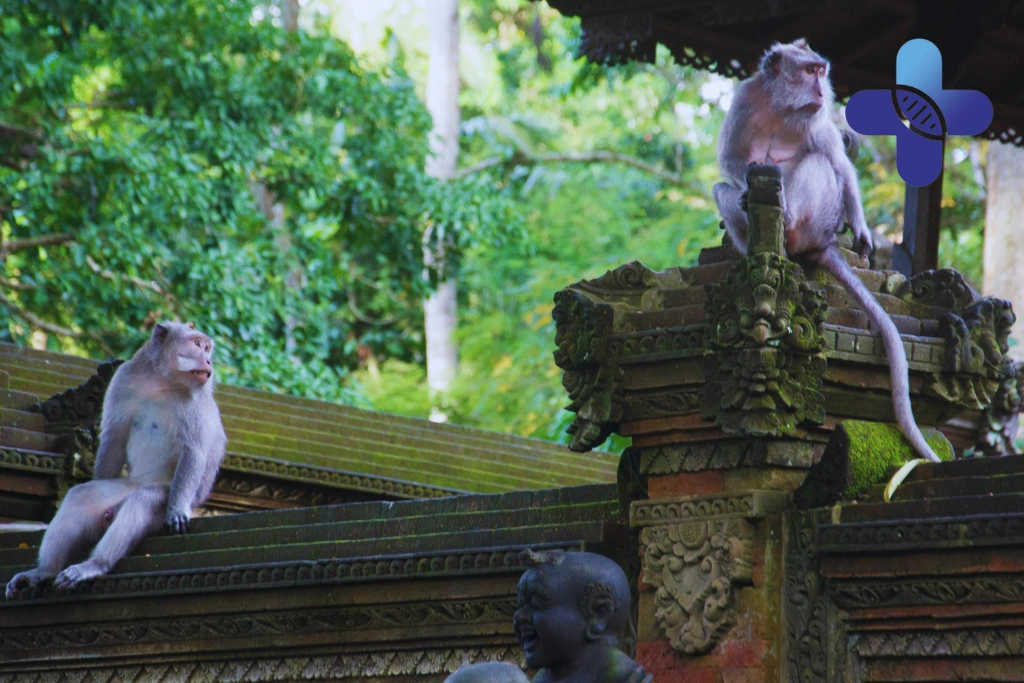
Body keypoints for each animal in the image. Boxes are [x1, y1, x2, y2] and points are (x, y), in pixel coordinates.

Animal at [4, 322, 227, 597]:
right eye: (198, 344)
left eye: (207, 347)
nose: (208, 360)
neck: (163, 381)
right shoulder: (124, 379)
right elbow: (115, 437)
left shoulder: (196, 402)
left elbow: (193, 451)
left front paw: (176, 511)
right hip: (122, 487)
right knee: (81, 496)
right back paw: (45, 571)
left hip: (163, 496)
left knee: (143, 500)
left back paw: (95, 565)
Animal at [712, 39, 940, 463]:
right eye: (808, 72)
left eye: (821, 72)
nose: (821, 91)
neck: (781, 107)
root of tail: (822, 244)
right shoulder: (744, 101)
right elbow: (731, 160)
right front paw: (748, 185)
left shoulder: (817, 122)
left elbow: (838, 164)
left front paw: (863, 229)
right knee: (723, 189)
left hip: (822, 218)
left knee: (819, 163)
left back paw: (787, 223)